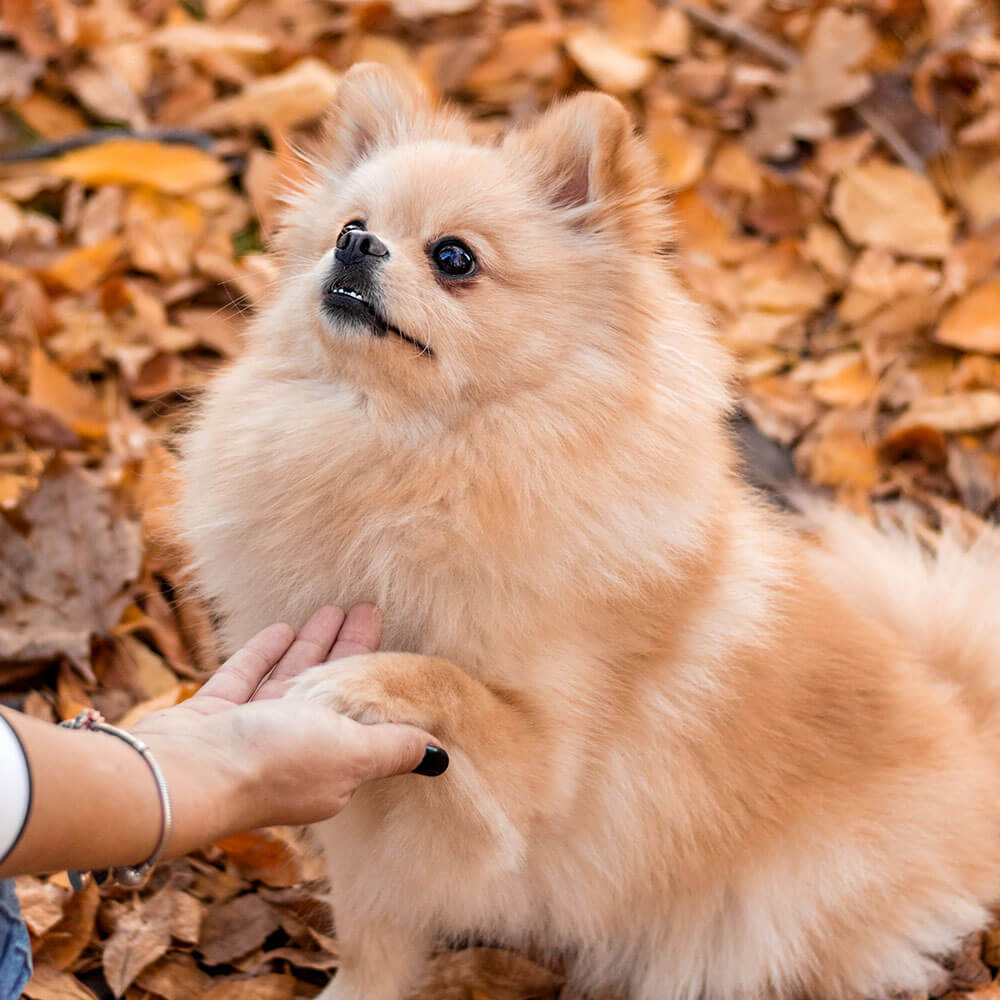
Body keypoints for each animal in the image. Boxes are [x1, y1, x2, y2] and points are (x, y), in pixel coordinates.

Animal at [180, 64, 1000, 1000]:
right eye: (351, 225)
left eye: (454, 258)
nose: (355, 249)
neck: (413, 453)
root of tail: (971, 735)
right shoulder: (376, 836)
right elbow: (375, 941)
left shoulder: (544, 763)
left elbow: (444, 680)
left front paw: (357, 679)